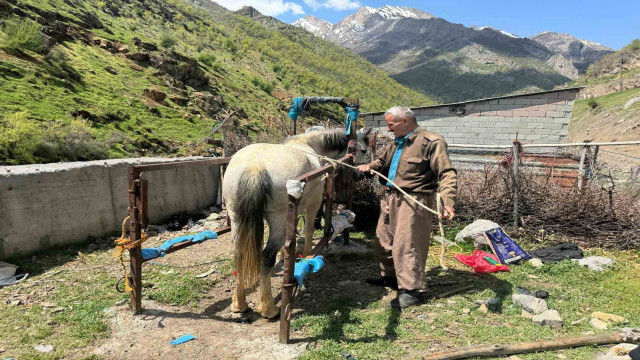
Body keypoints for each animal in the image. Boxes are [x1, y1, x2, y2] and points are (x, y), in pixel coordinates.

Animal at [222, 129, 370, 318]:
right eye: (363, 150)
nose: (361, 174)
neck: (309, 145)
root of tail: (254, 168)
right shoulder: (313, 203)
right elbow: (308, 229)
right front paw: (307, 256)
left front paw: (285, 255)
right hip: (277, 220)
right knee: (266, 258)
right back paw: (268, 309)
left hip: (236, 218)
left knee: (239, 255)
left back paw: (239, 303)